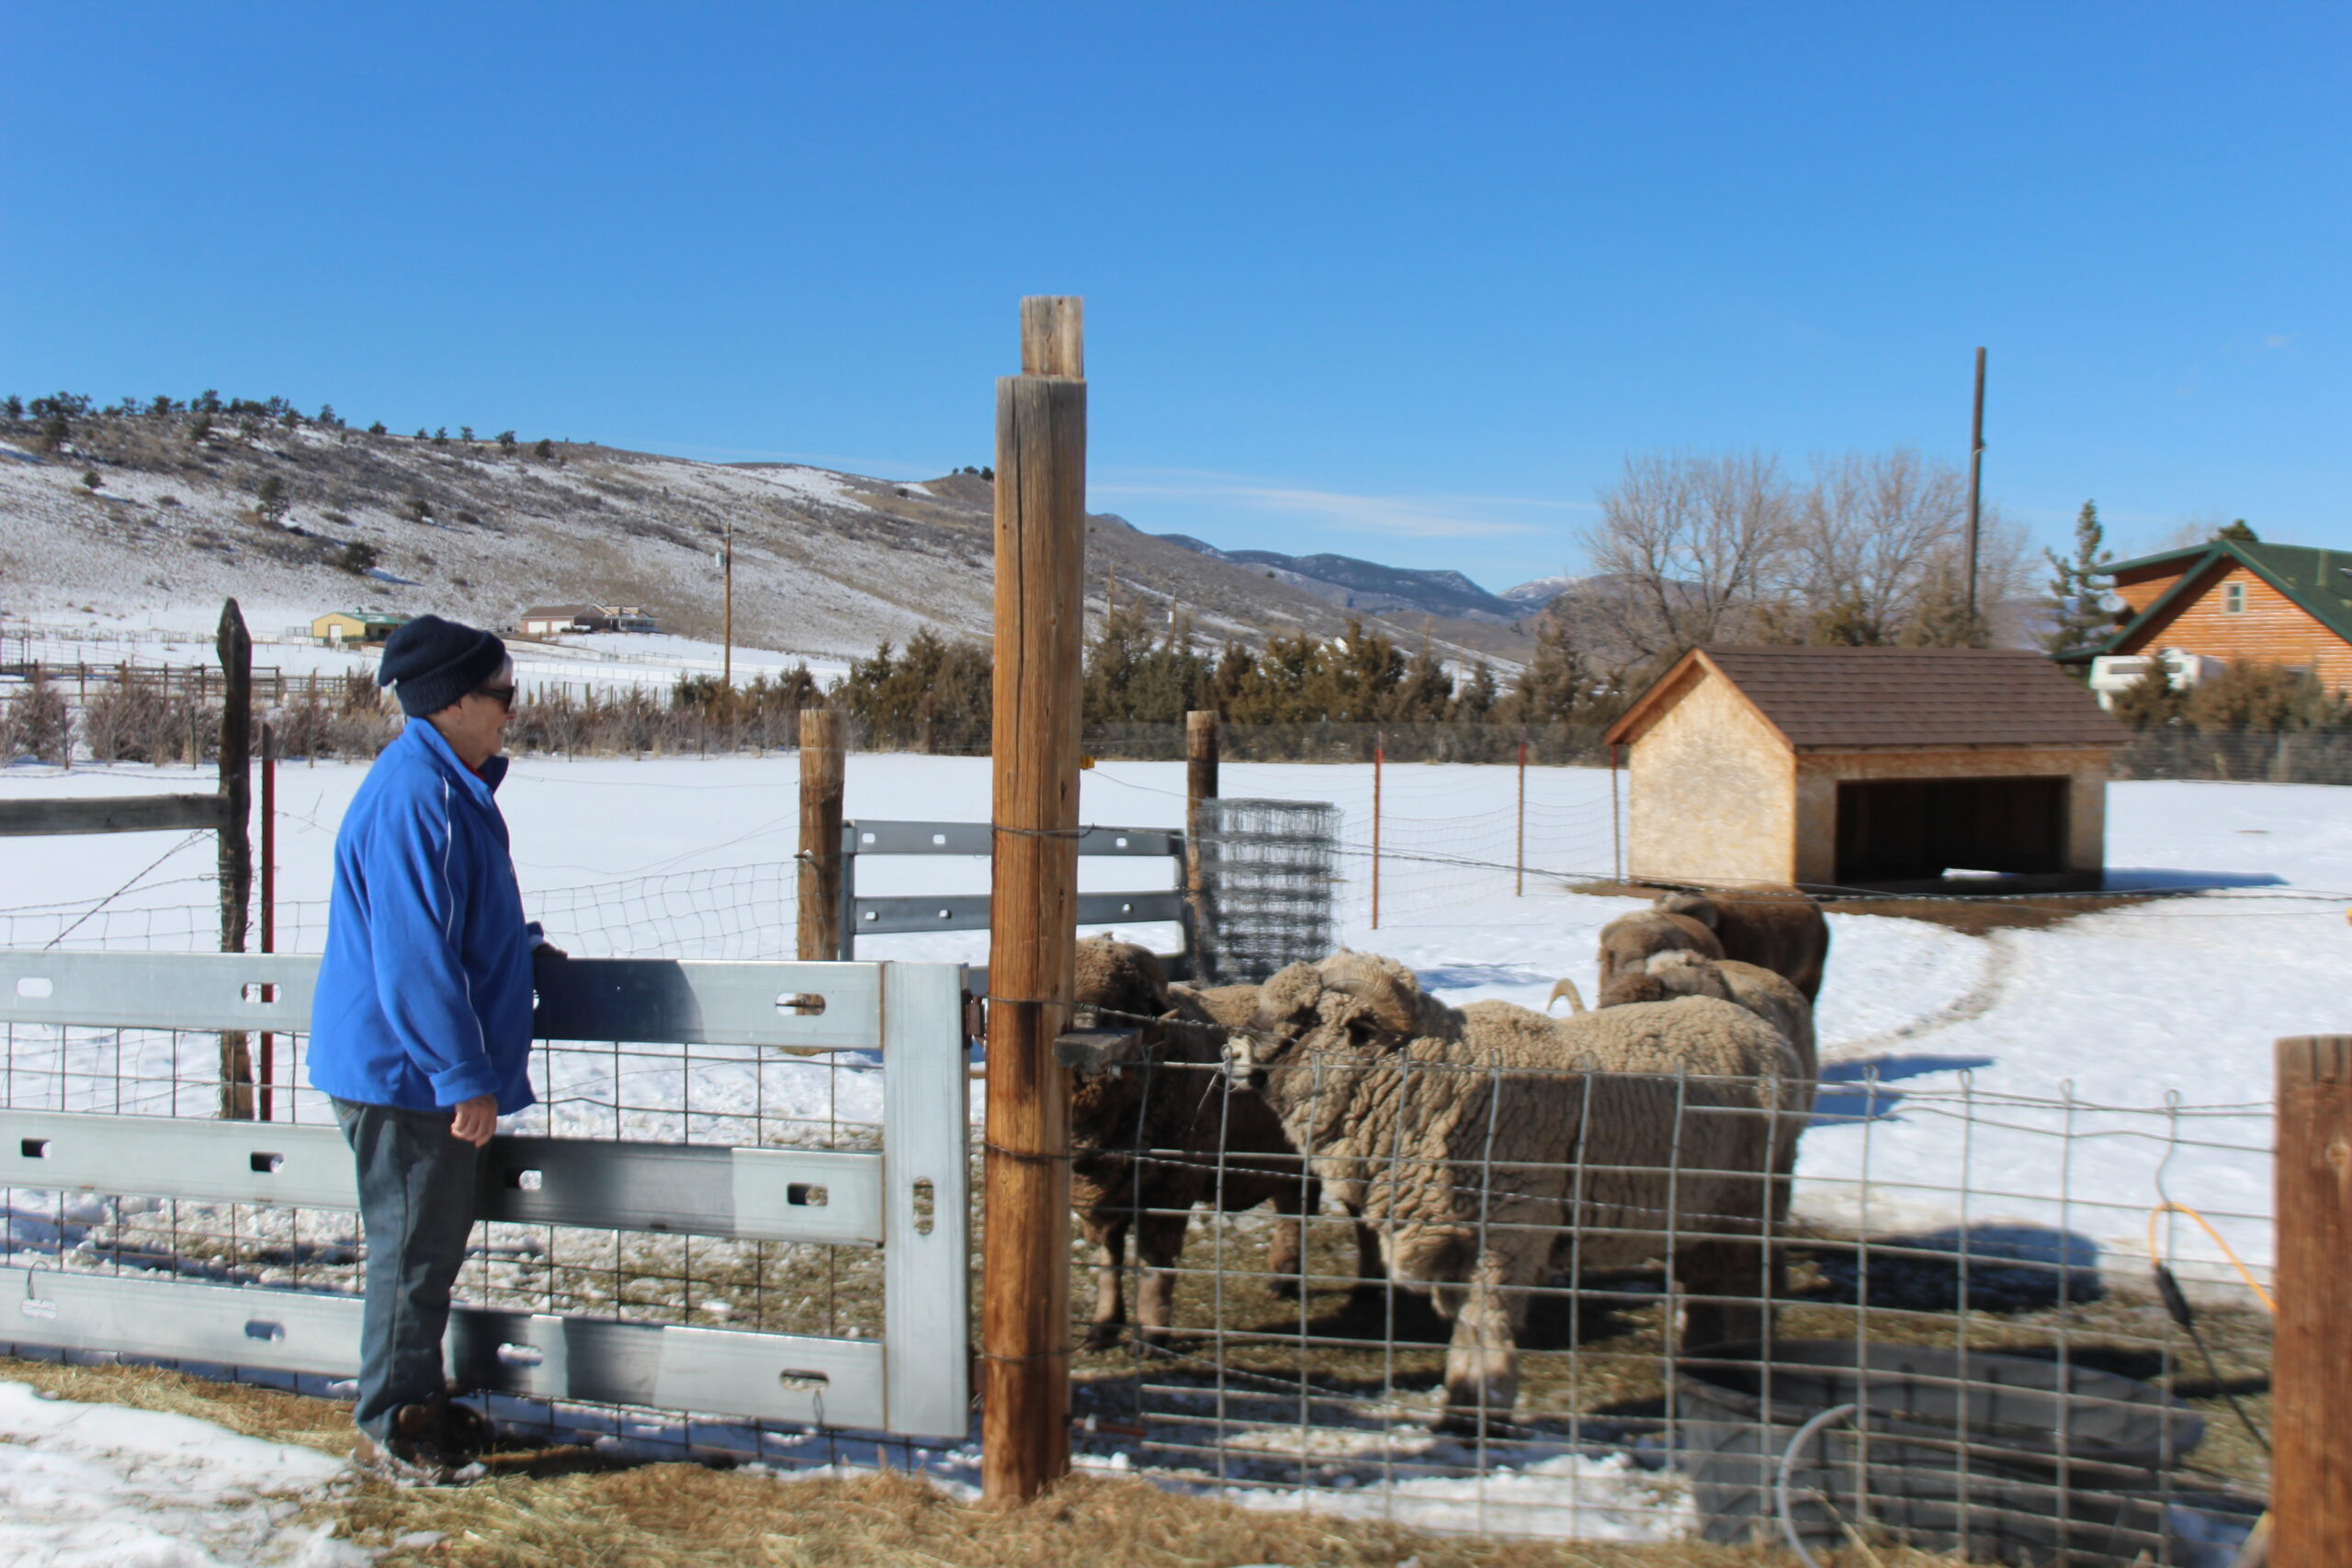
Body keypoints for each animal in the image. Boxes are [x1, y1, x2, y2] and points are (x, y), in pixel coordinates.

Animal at [1067, 938, 1363, 1348]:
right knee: (1292, 1210)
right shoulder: (1099, 1191)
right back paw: (1284, 1279)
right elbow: (1107, 1259)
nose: (1086, 1039)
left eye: (1120, 998)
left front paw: (1151, 1333)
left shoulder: (1171, 1187)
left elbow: (1154, 1260)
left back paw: (1369, 1292)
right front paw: (1103, 1326)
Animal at [1226, 949, 1802, 1426]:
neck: (1437, 1079)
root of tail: (1765, 1032)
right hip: (1702, 1210)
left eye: (1306, 1017)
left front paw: (1482, 1410)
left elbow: (1487, 1325)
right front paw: (1461, 1403)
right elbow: (1466, 1328)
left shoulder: (1508, 1237)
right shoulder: (1457, 1244)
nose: (1231, 1054)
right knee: (1707, 1284)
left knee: (1746, 1288)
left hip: (1753, 1202)